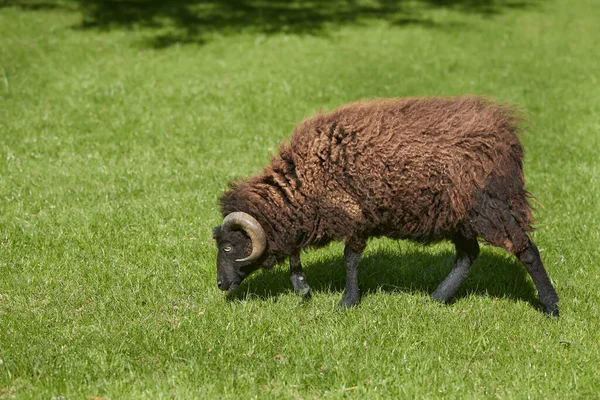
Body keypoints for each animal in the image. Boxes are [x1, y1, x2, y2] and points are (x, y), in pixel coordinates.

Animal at [213, 96, 560, 316]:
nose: (220, 284)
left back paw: (551, 306)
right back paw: (437, 298)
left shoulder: (354, 216)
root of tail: (507, 137)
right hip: (455, 215)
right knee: (467, 255)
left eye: (229, 248)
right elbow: (298, 253)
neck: (304, 179)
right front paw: (301, 286)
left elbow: (350, 260)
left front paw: (347, 303)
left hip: (490, 208)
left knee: (526, 250)